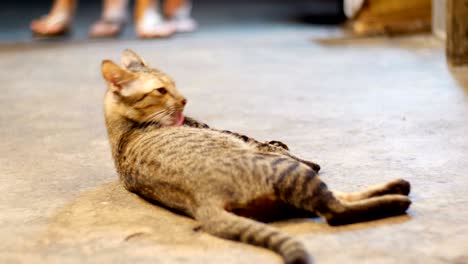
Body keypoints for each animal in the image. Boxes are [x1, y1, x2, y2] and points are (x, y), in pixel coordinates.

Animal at [103, 50, 414, 264]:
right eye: (160, 90)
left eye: (174, 84)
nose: (184, 99)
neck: (122, 129)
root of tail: (203, 202)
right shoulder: (253, 143)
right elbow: (277, 146)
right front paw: (301, 153)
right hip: (287, 172)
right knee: (334, 210)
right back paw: (397, 199)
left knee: (337, 198)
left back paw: (396, 187)